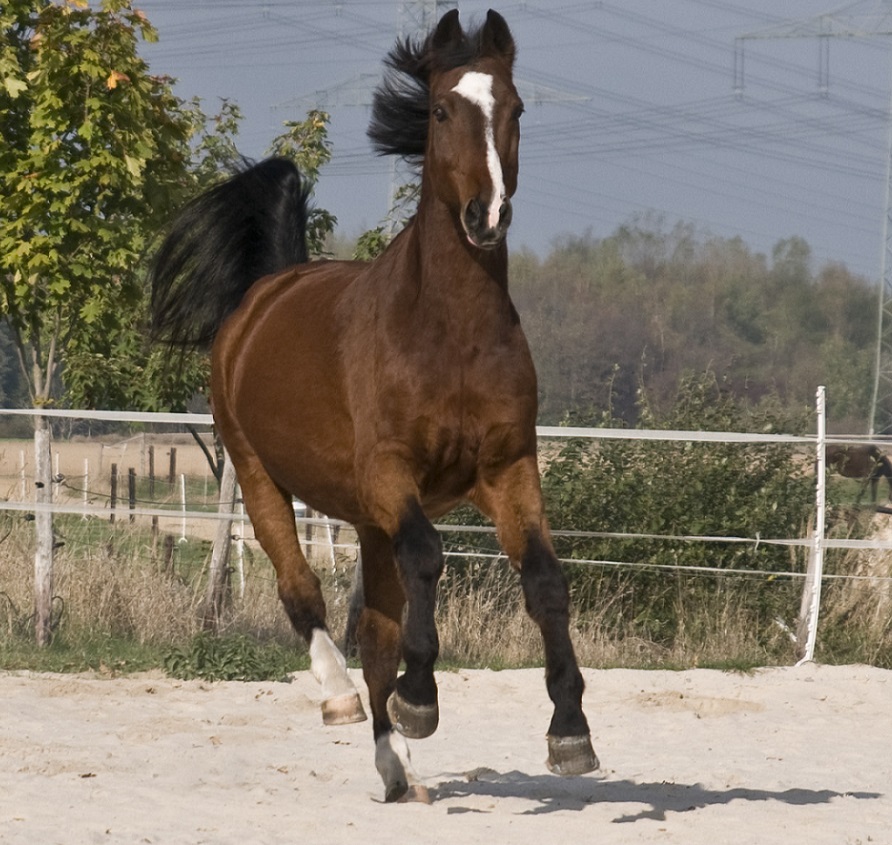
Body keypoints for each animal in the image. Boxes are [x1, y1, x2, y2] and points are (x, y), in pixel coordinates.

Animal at [150, 9, 600, 800]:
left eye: (516, 109)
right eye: (443, 109)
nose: (487, 215)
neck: (447, 334)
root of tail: (266, 292)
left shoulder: (508, 469)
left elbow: (544, 578)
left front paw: (570, 729)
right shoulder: (391, 474)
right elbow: (428, 556)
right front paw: (423, 699)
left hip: (364, 520)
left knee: (374, 633)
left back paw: (398, 770)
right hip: (260, 477)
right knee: (303, 593)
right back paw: (343, 698)